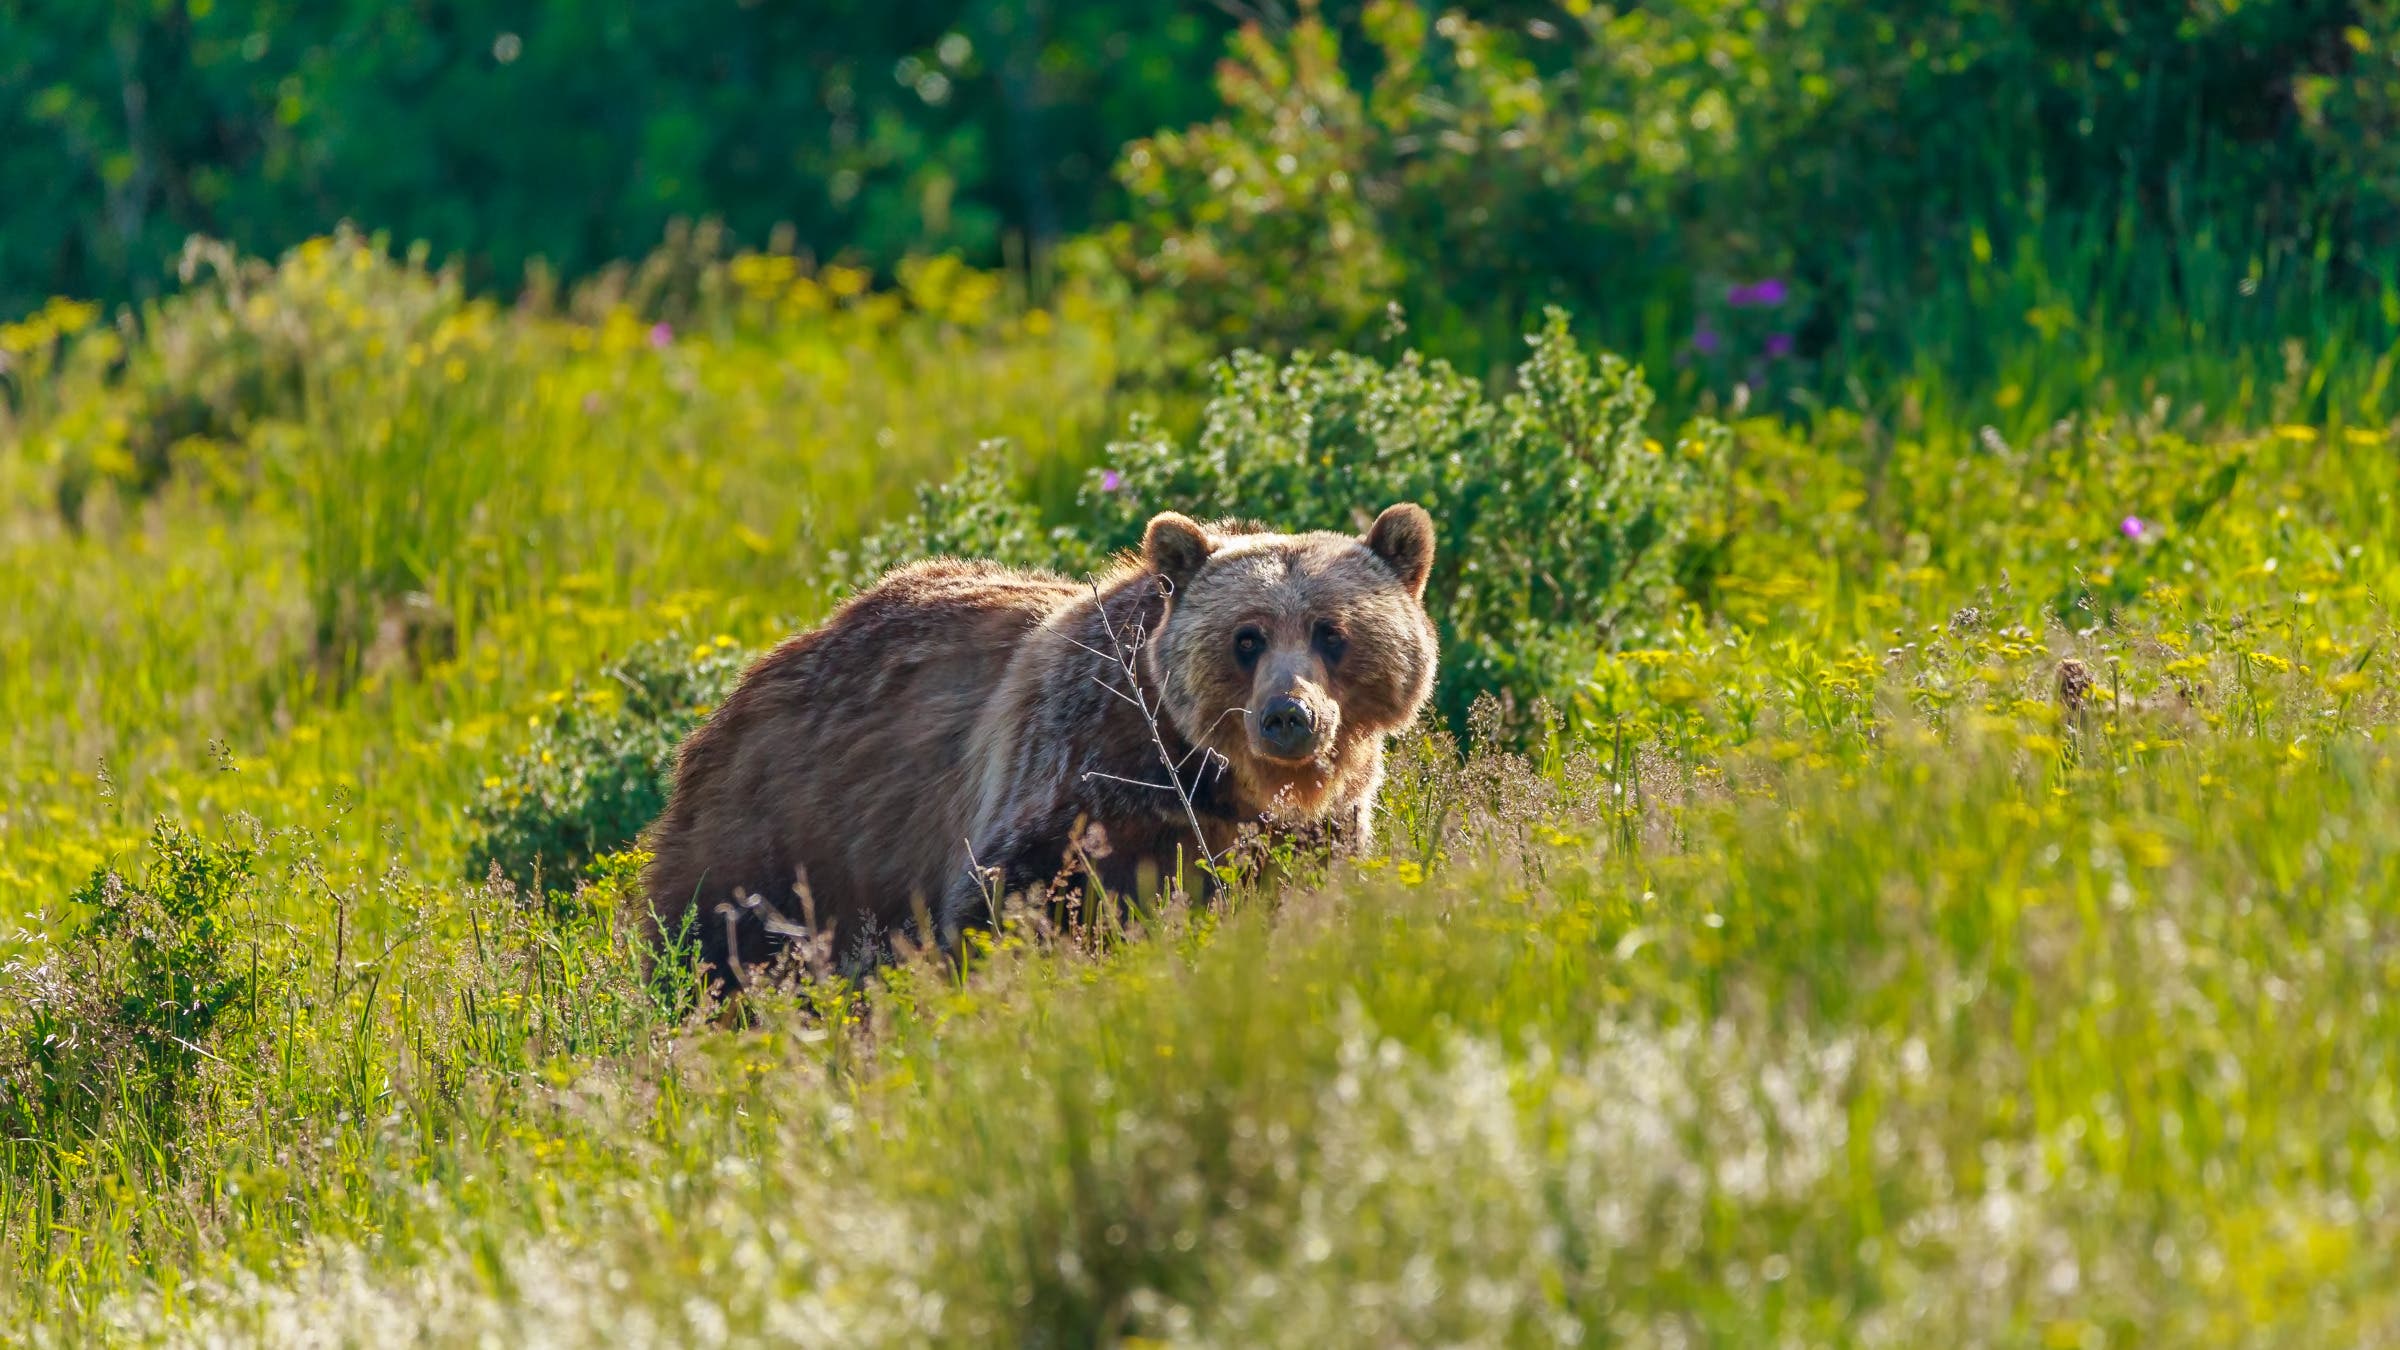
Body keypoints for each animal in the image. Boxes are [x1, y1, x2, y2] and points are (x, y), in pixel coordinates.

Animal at [638, 502, 1439, 986]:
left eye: (1331, 632)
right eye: (1247, 638)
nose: (1287, 716)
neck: (1205, 779)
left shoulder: (1308, 831)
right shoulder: (1078, 774)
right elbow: (1010, 899)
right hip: (788, 828)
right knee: (721, 939)